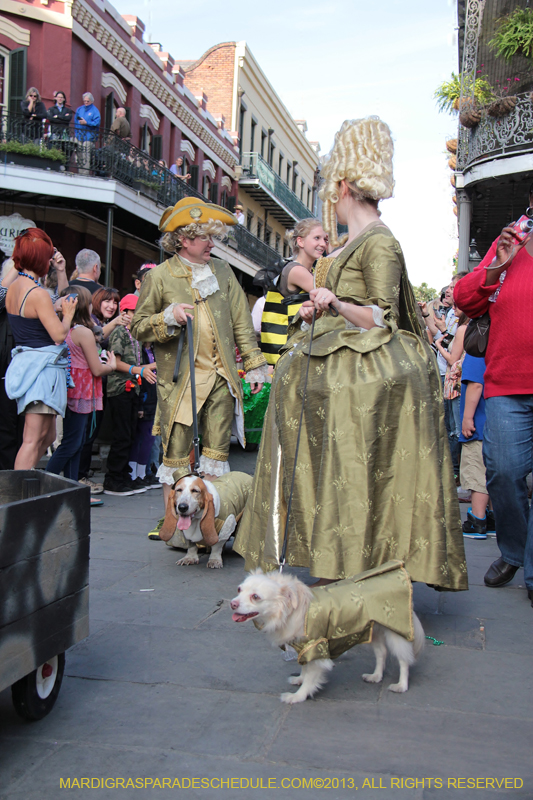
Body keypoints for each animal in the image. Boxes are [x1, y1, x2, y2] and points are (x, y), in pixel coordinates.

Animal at [229, 568, 424, 708]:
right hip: (372, 630)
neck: (289, 612)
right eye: (239, 590)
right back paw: (375, 676)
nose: (232, 603)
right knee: (381, 653)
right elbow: (305, 668)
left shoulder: (316, 647)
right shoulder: (305, 649)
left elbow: (311, 677)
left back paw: (401, 685)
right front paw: (299, 679)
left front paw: (298, 696)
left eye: (255, 597)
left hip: (396, 631)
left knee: (404, 660)